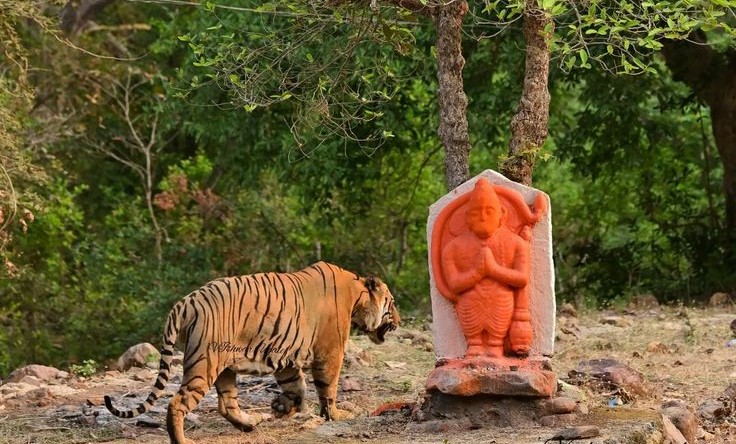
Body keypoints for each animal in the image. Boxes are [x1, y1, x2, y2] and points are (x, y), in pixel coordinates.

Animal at [104, 261, 400, 444]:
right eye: (392, 303)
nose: (399, 321)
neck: (357, 296)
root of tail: (186, 301)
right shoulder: (330, 351)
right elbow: (328, 387)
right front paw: (336, 416)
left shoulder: (286, 355)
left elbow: (296, 388)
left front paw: (281, 407)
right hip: (205, 362)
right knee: (178, 403)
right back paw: (183, 440)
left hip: (224, 365)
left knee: (226, 404)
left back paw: (250, 423)